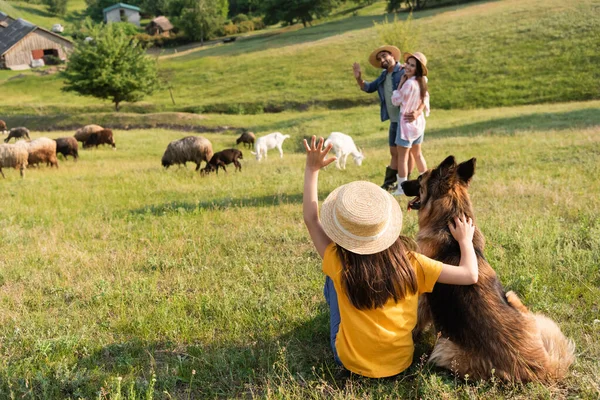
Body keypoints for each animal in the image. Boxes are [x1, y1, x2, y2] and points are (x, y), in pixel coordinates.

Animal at [400, 155, 576, 382]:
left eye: (420, 178)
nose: (401, 183)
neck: (450, 219)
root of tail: (541, 367)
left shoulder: (423, 297)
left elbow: (417, 321)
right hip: (512, 297)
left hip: (445, 348)